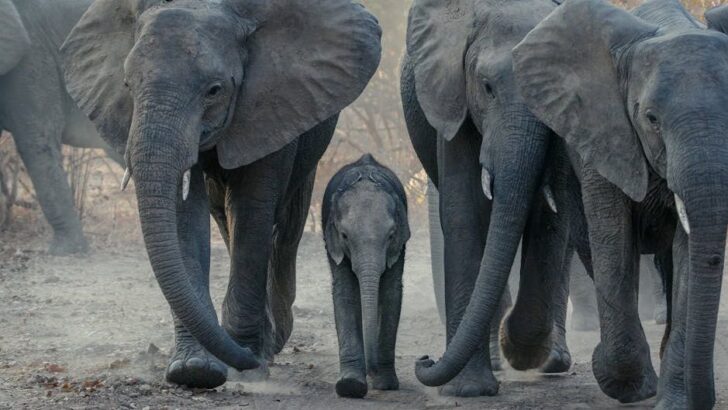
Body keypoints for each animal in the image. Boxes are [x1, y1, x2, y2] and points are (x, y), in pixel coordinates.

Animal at [60, 0, 381, 389]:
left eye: (214, 90)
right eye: (127, 85)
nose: (242, 357)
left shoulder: (274, 100)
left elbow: (253, 211)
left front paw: (248, 363)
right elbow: (186, 217)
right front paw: (194, 369)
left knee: (285, 226)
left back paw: (272, 341)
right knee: (225, 217)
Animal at [323, 154, 410, 398]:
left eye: (390, 236)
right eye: (344, 235)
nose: (373, 369)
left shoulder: (399, 245)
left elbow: (391, 292)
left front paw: (386, 384)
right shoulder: (334, 244)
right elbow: (345, 293)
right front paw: (350, 386)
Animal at [401, 0, 575, 397]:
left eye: (548, 93)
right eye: (487, 87)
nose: (424, 360)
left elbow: (551, 218)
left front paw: (521, 351)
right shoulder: (453, 100)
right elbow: (464, 213)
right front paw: (469, 390)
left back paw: (548, 360)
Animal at [514, 0, 728, 407]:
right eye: (651, 119)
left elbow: (687, 256)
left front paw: (675, 402)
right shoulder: (602, 134)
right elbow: (614, 242)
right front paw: (627, 385)